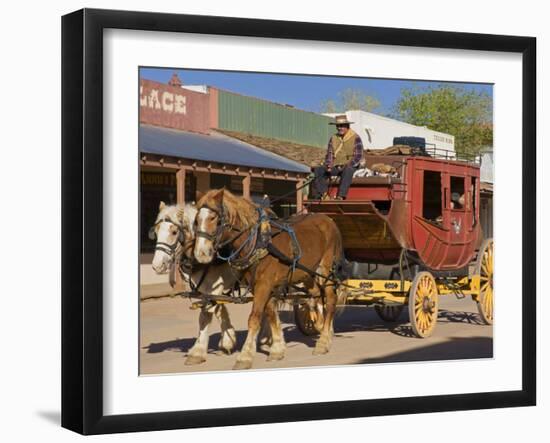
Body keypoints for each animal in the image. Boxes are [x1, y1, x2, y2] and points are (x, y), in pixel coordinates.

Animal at [150, 203, 238, 366]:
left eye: (174, 232)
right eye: (156, 231)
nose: (157, 266)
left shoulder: (217, 285)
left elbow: (207, 314)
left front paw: (198, 352)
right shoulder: (206, 289)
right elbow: (217, 311)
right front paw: (228, 341)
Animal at [192, 189, 342, 370]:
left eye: (214, 218)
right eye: (196, 220)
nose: (200, 253)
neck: (259, 241)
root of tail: (329, 220)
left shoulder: (264, 284)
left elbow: (255, 317)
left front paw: (245, 356)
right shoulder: (261, 285)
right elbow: (270, 313)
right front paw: (277, 349)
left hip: (325, 269)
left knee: (331, 299)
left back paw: (324, 341)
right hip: (308, 273)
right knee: (316, 296)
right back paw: (321, 327)